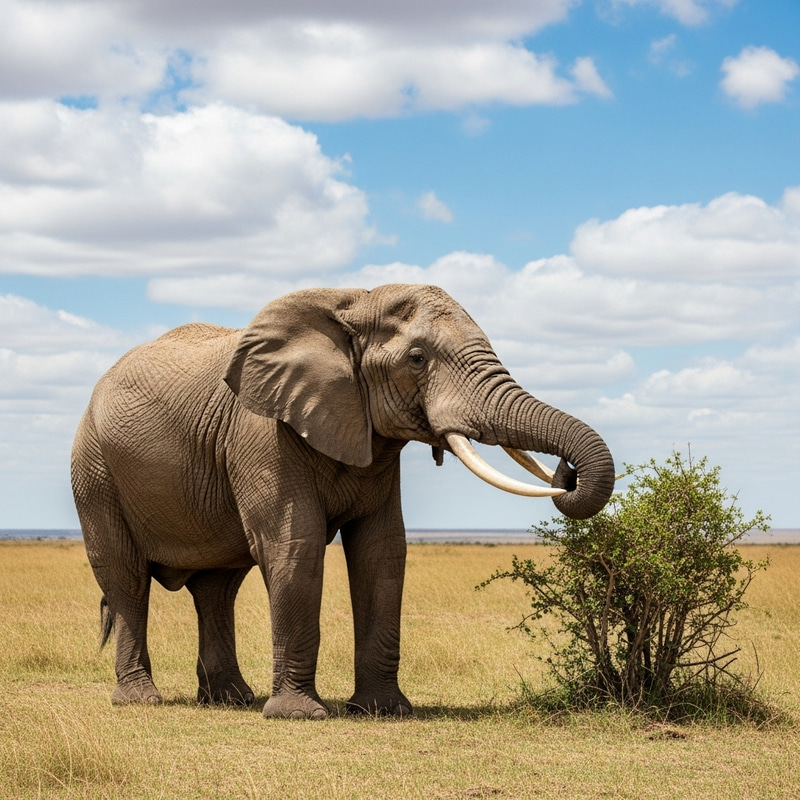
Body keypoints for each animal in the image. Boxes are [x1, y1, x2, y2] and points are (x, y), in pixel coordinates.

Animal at [71, 283, 615, 719]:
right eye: (417, 358)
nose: (566, 475)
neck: (354, 301)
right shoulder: (263, 432)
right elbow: (296, 546)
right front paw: (298, 716)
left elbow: (382, 552)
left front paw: (383, 711)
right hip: (94, 471)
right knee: (126, 578)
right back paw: (141, 701)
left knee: (217, 587)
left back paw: (230, 700)